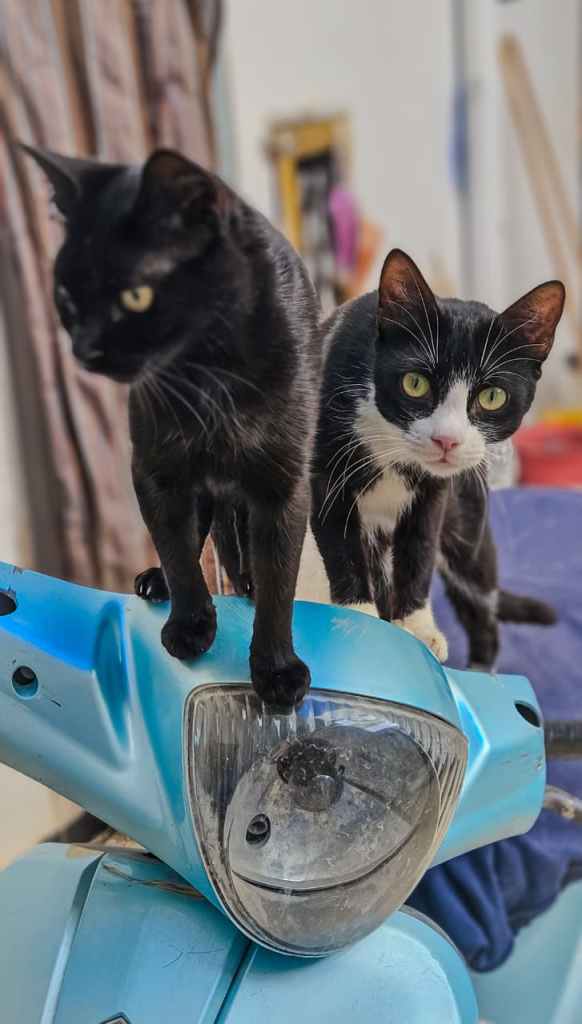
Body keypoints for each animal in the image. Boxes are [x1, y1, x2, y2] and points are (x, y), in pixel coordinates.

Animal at [23, 145, 320, 709]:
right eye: (67, 297)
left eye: (136, 297)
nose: (85, 349)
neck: (207, 375)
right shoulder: (156, 471)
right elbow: (178, 550)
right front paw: (189, 626)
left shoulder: (283, 485)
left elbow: (280, 580)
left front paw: (276, 671)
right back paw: (157, 581)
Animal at [308, 248, 564, 668]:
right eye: (415, 383)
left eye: (492, 396)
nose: (447, 440)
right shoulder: (326, 471)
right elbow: (341, 546)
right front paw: (361, 621)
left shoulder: (435, 495)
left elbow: (419, 548)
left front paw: (417, 627)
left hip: (469, 525)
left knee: (481, 609)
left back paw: (483, 670)